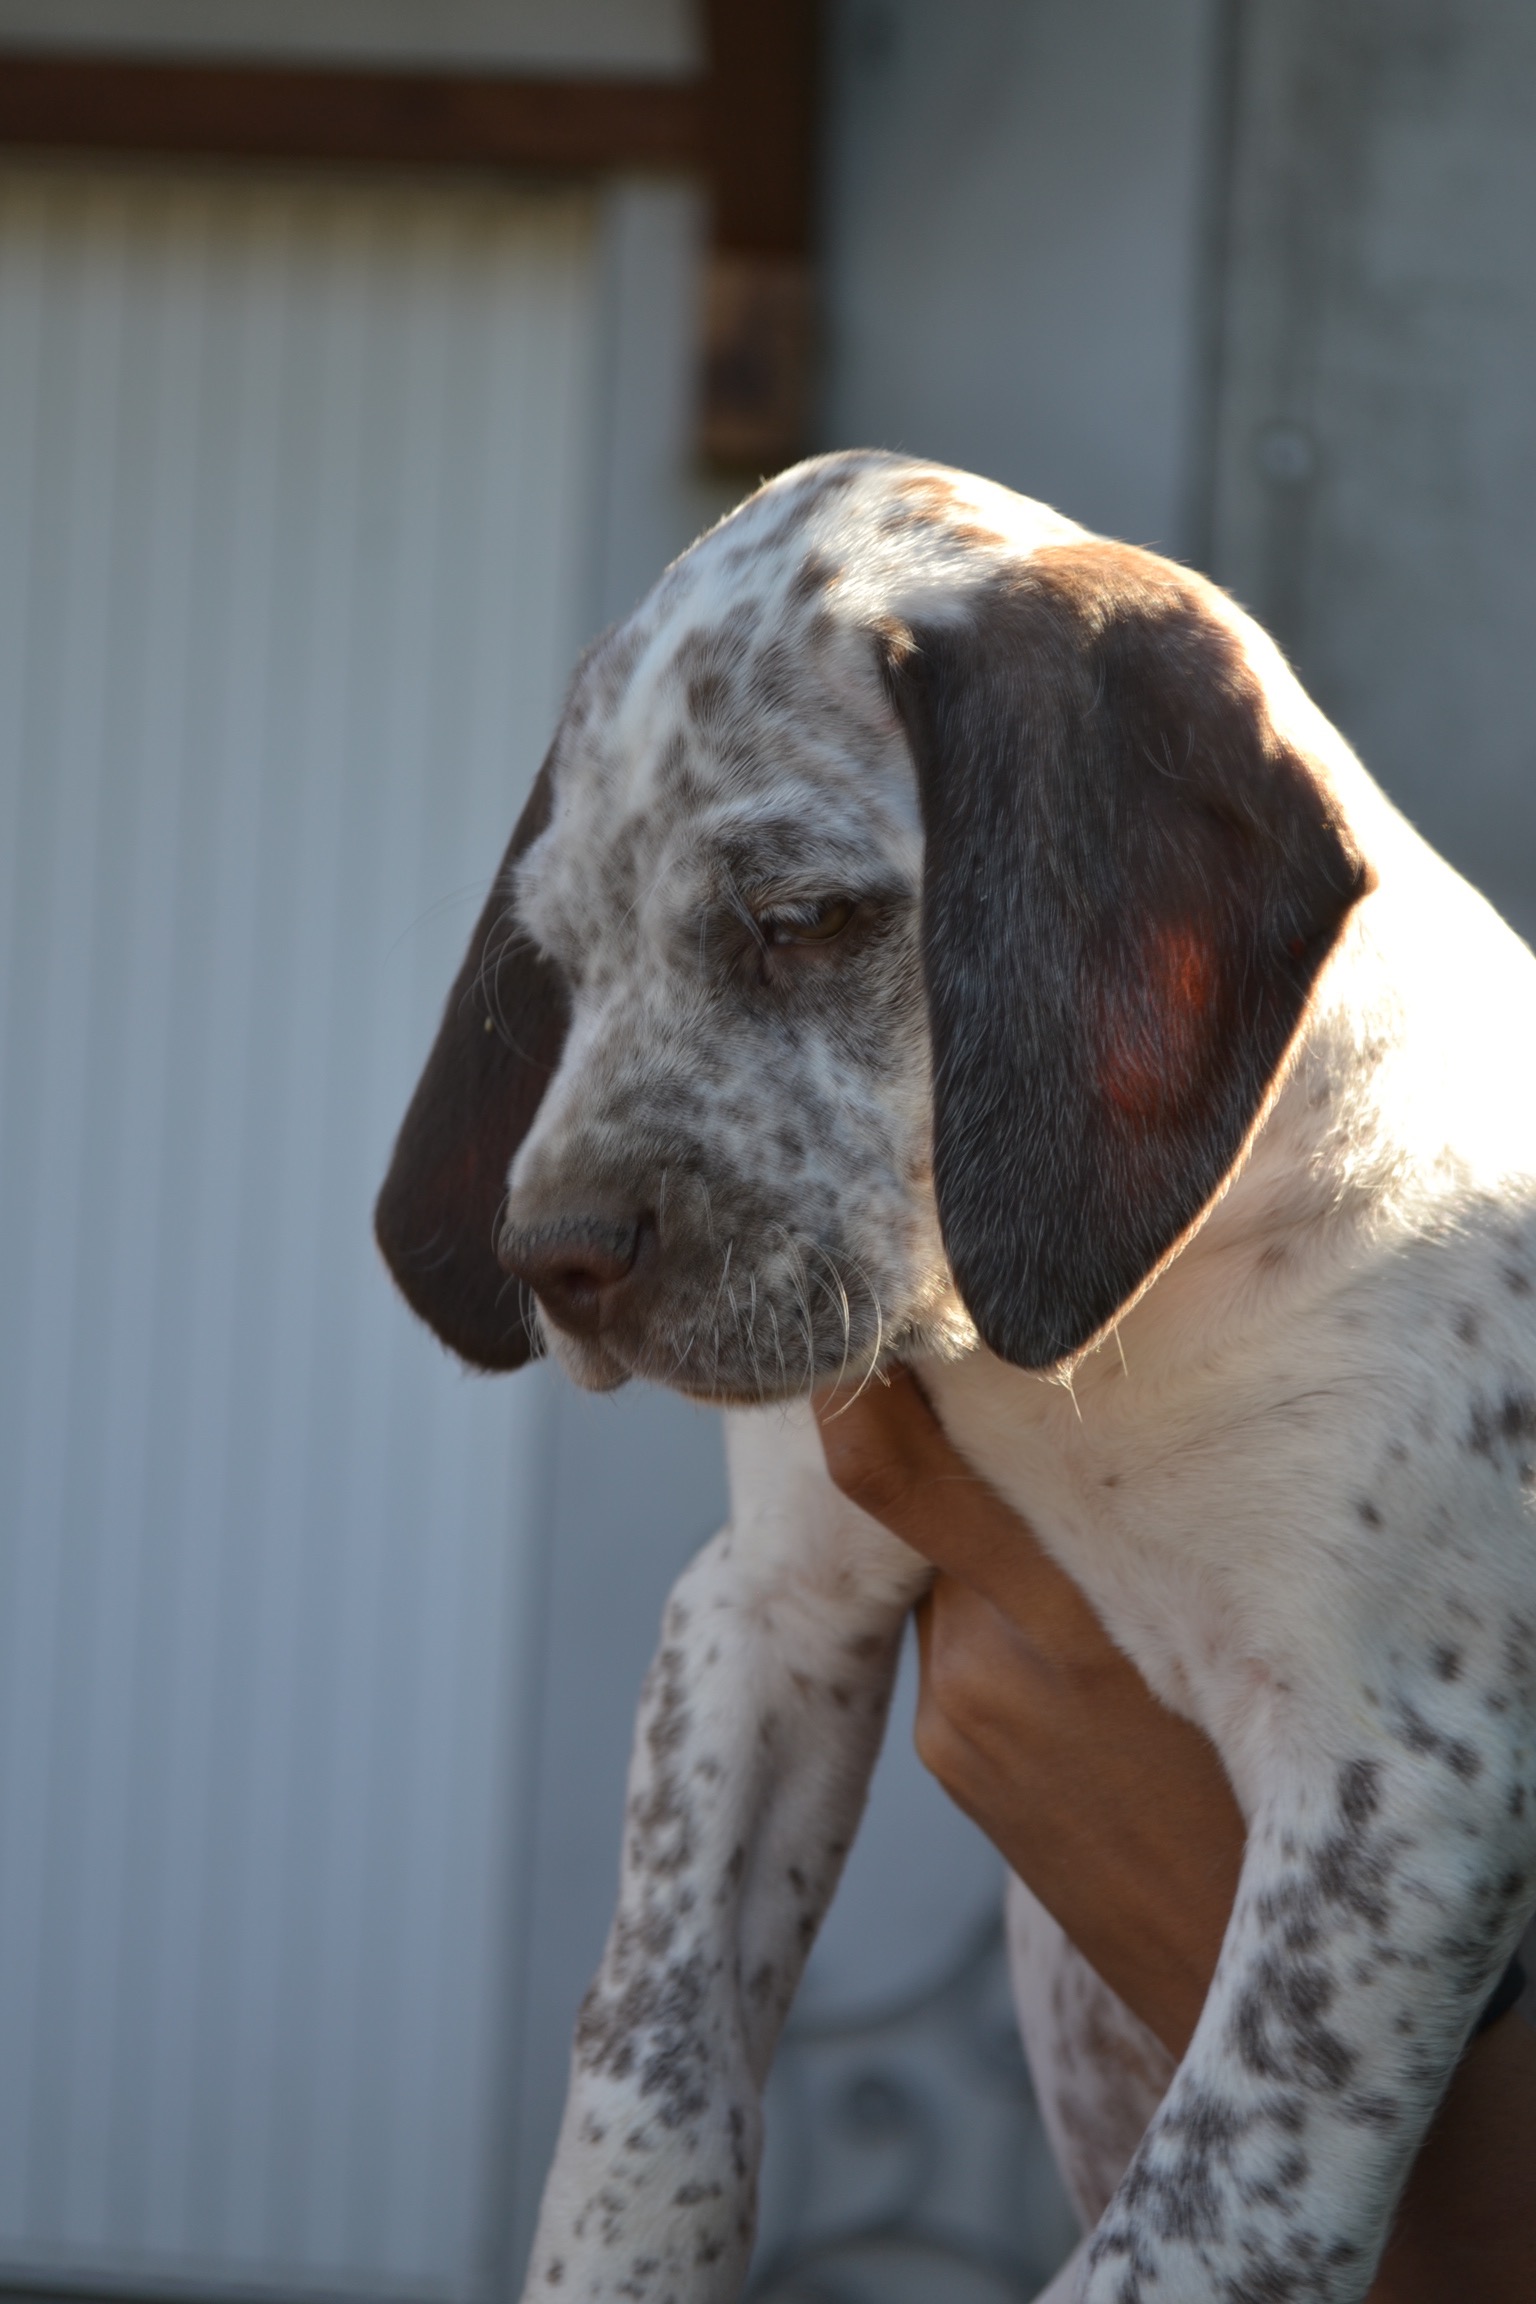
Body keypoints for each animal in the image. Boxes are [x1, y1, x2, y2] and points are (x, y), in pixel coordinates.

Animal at [377, 453, 1536, 2304]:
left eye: (795, 922)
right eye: (558, 959)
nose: (550, 1255)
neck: (1073, 1360)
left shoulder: (1402, 1784)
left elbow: (1202, 2219)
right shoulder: (763, 1608)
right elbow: (652, 2073)